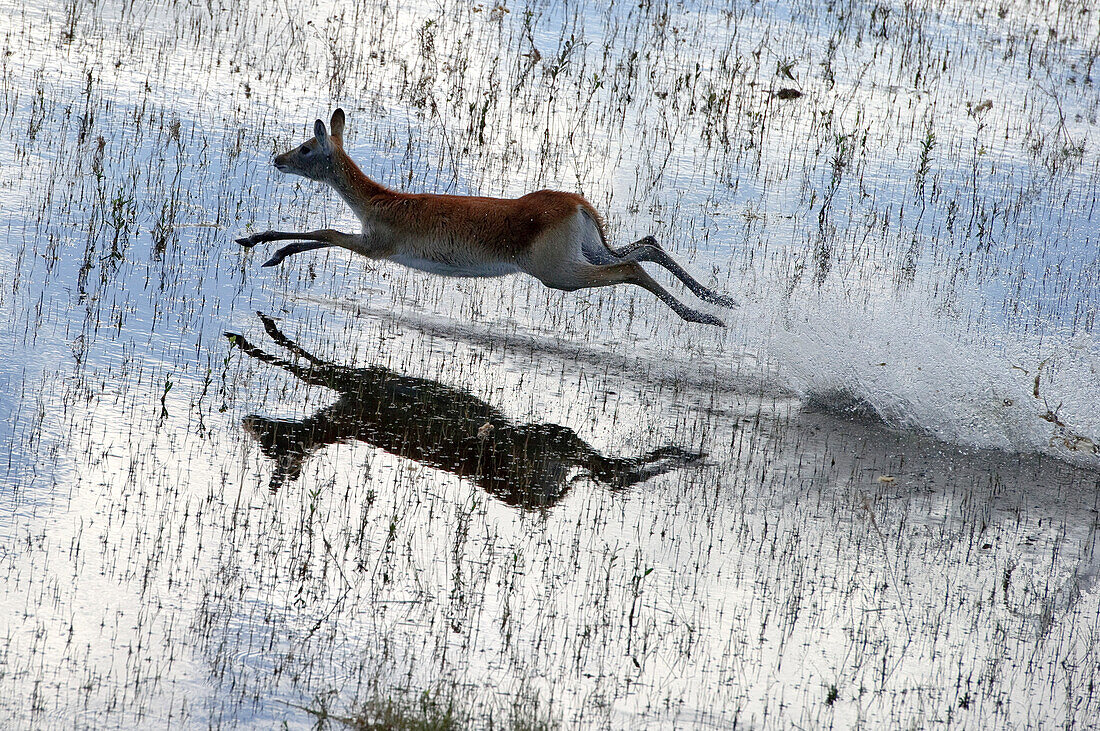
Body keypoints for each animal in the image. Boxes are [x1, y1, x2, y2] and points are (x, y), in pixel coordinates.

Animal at [236, 108, 734, 325]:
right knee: (648, 245)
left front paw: (259, 243)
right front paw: (267, 251)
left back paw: (704, 318)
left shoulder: (375, 245)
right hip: (590, 251)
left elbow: (325, 229)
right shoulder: (368, 241)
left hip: (560, 273)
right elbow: (322, 234)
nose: (278, 160)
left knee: (631, 267)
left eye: (306, 147)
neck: (381, 201)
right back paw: (719, 302)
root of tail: (577, 203)